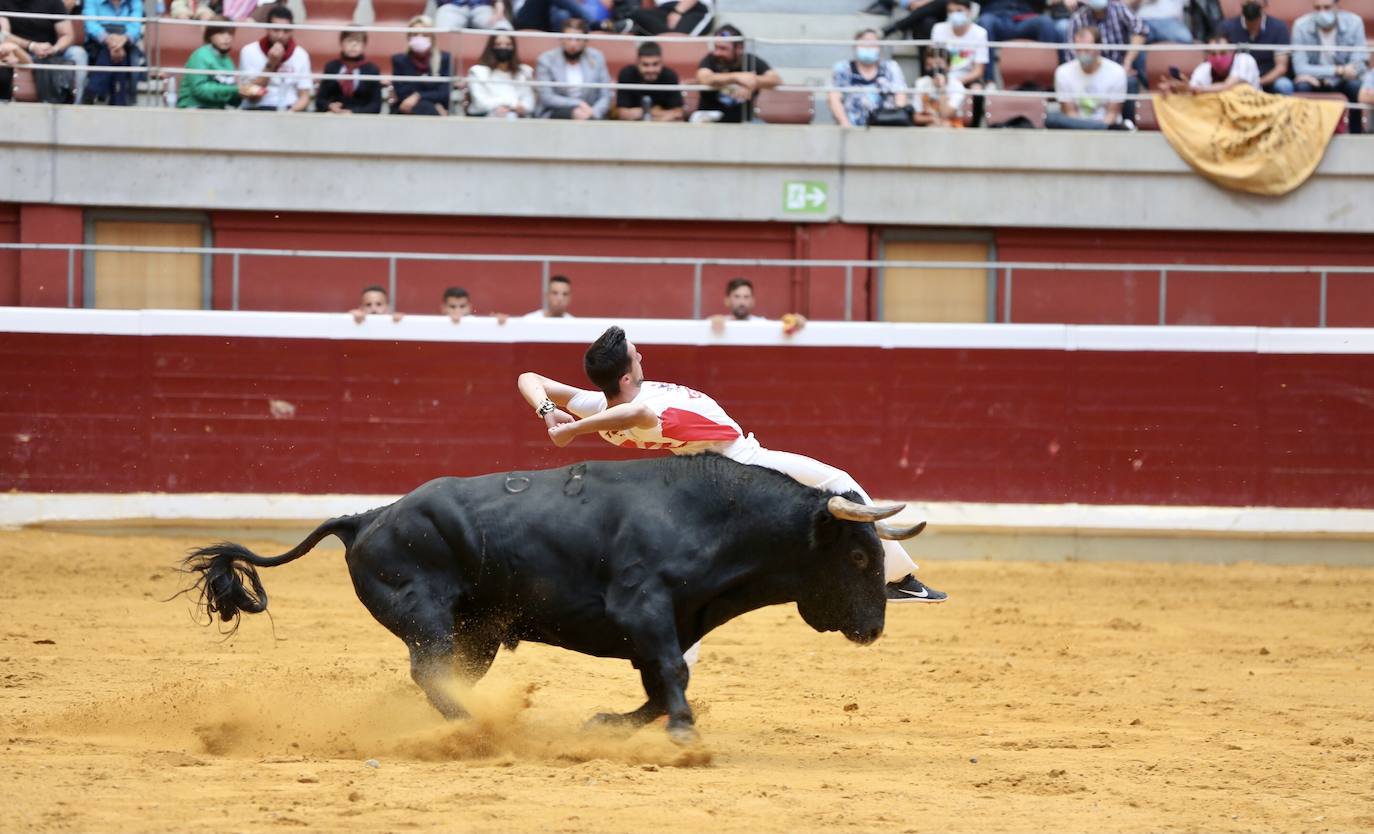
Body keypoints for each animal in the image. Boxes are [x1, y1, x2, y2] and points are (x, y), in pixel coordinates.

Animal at [179, 456, 923, 741]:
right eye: (860, 556)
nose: (873, 630)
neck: (714, 517)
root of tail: (368, 518)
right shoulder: (643, 610)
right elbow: (671, 678)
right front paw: (683, 732)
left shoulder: (664, 624)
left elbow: (659, 685)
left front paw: (612, 722)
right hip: (427, 614)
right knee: (429, 670)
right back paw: (471, 727)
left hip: (476, 633)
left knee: (442, 674)